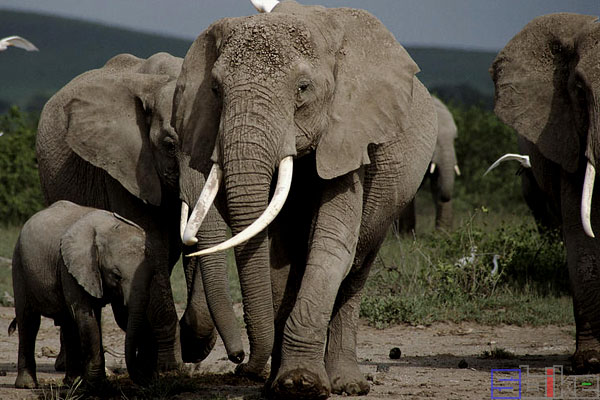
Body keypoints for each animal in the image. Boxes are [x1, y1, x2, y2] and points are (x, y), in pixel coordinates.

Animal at [10, 200, 172, 388]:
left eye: (152, 274)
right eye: (116, 275)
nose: (148, 379)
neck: (107, 228)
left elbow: (123, 316)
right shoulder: (70, 268)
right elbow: (87, 318)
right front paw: (96, 384)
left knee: (68, 322)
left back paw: (72, 382)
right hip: (19, 265)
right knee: (29, 321)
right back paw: (28, 385)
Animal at [34, 51, 241, 374]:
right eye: (169, 145)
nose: (239, 357)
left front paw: (189, 347)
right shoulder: (123, 167)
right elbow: (150, 243)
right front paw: (170, 368)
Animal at [173, 1, 436, 398]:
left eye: (303, 88)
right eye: (216, 89)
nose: (240, 365)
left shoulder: (349, 136)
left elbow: (331, 244)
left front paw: (301, 384)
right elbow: (277, 256)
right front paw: (281, 384)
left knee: (357, 268)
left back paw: (347, 384)